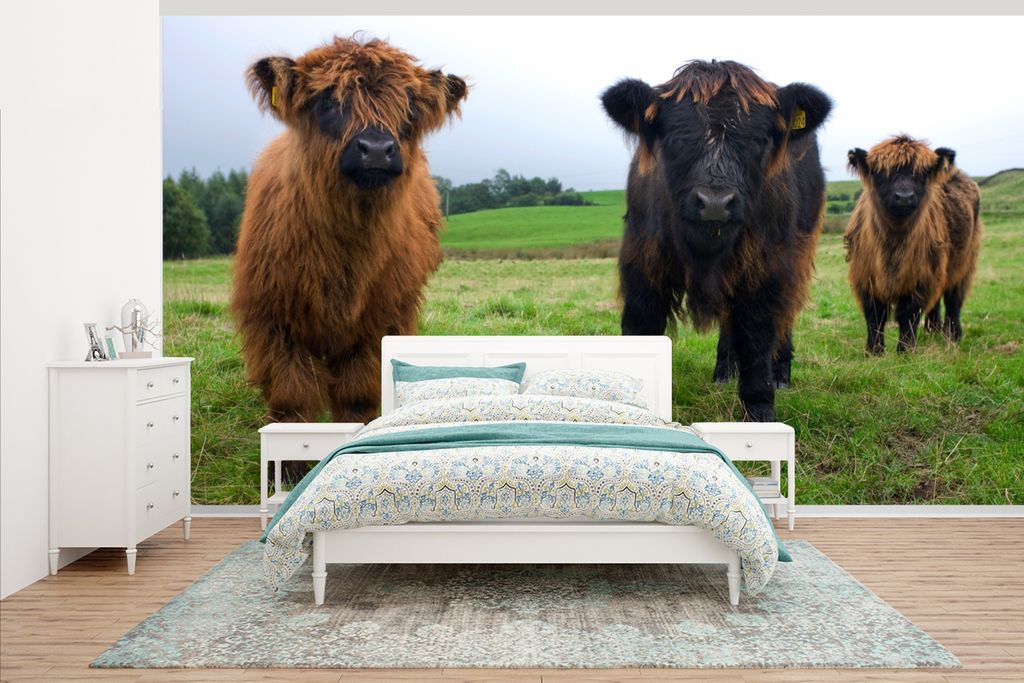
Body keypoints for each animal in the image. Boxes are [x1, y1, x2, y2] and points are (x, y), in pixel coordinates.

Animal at [232, 36, 468, 436]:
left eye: (409, 105)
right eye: (327, 99)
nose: (376, 150)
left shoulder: (379, 322)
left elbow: (357, 397)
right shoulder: (274, 321)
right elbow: (292, 400)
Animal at [601, 59, 832, 421]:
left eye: (758, 139)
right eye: (676, 137)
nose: (714, 203)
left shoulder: (767, 268)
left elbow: (757, 338)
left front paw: (761, 412)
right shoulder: (643, 262)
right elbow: (641, 325)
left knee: (785, 315)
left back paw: (781, 372)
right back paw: (725, 368)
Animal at [845, 134, 983, 354]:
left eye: (921, 173)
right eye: (882, 173)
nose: (904, 197)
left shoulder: (920, 276)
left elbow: (908, 313)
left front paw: (906, 349)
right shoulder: (865, 276)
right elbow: (875, 314)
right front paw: (874, 350)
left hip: (965, 260)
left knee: (953, 298)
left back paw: (953, 335)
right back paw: (933, 329)